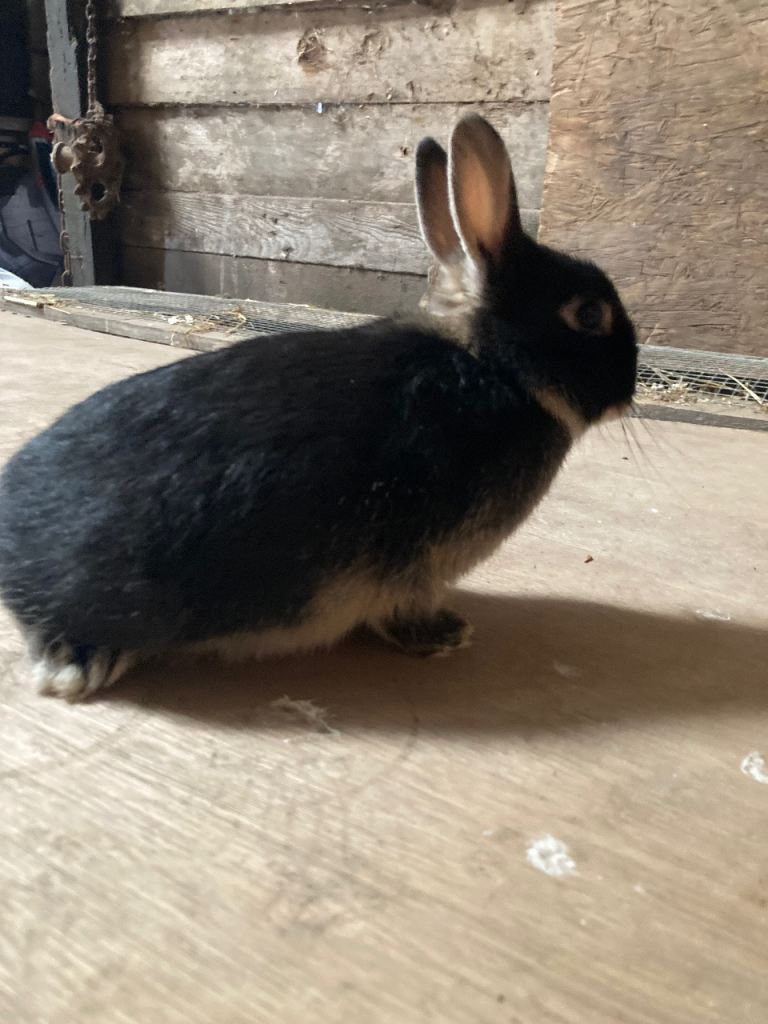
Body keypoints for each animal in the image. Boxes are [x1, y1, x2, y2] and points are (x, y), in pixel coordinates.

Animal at [0, 114, 637, 702]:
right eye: (588, 315)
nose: (629, 387)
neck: (496, 368)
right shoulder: (414, 570)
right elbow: (404, 609)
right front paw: (446, 636)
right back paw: (77, 666)